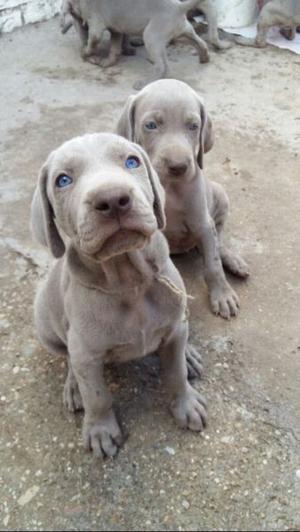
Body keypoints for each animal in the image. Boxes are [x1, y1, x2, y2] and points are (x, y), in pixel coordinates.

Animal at [30, 132, 206, 458]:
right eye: (63, 180)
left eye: (132, 162)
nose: (112, 199)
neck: (128, 281)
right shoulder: (86, 353)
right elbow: (97, 395)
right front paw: (100, 430)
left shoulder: (173, 325)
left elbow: (175, 372)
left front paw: (186, 404)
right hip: (46, 327)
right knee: (69, 358)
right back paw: (73, 387)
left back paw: (189, 355)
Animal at [58, 0, 227, 89]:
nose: (73, 19)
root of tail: (177, 7)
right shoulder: (116, 28)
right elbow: (115, 46)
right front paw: (107, 62)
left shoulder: (96, 22)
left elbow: (94, 39)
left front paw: (85, 54)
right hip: (182, 30)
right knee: (200, 42)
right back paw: (205, 58)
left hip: (152, 34)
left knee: (163, 66)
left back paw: (144, 83)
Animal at [116, 79, 250, 320]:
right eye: (151, 125)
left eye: (193, 126)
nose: (178, 166)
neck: (169, 189)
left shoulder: (203, 223)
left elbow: (213, 266)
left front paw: (222, 295)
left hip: (220, 195)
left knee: (219, 242)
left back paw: (233, 261)